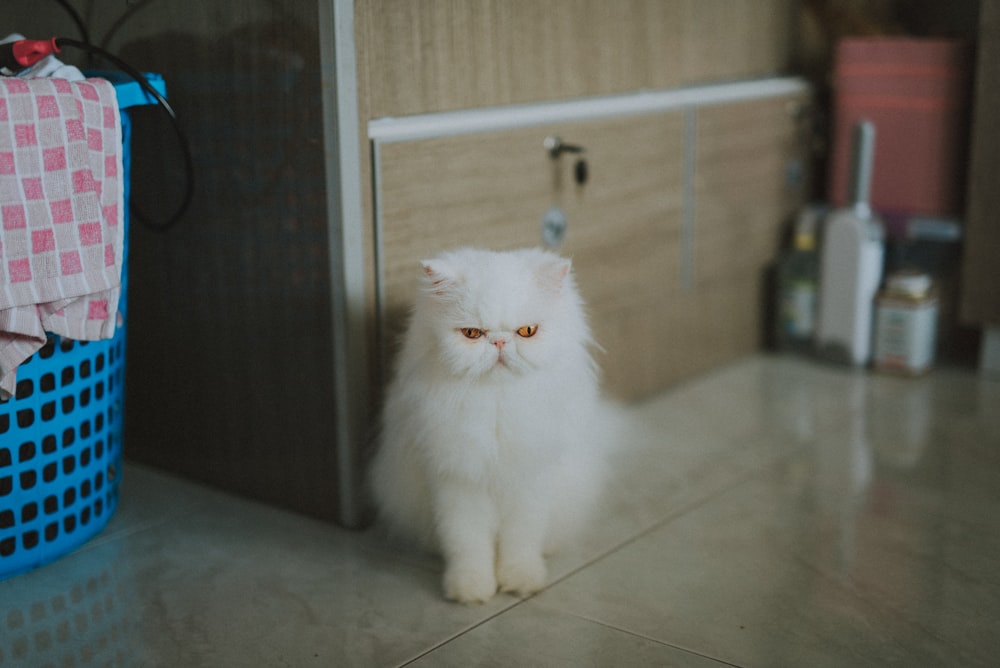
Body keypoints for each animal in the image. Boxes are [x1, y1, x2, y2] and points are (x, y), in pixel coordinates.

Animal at [372, 247, 612, 604]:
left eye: (527, 331)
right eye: (473, 334)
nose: (499, 343)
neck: (496, 404)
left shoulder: (529, 480)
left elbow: (521, 541)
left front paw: (522, 582)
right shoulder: (457, 483)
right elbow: (467, 544)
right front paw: (470, 591)